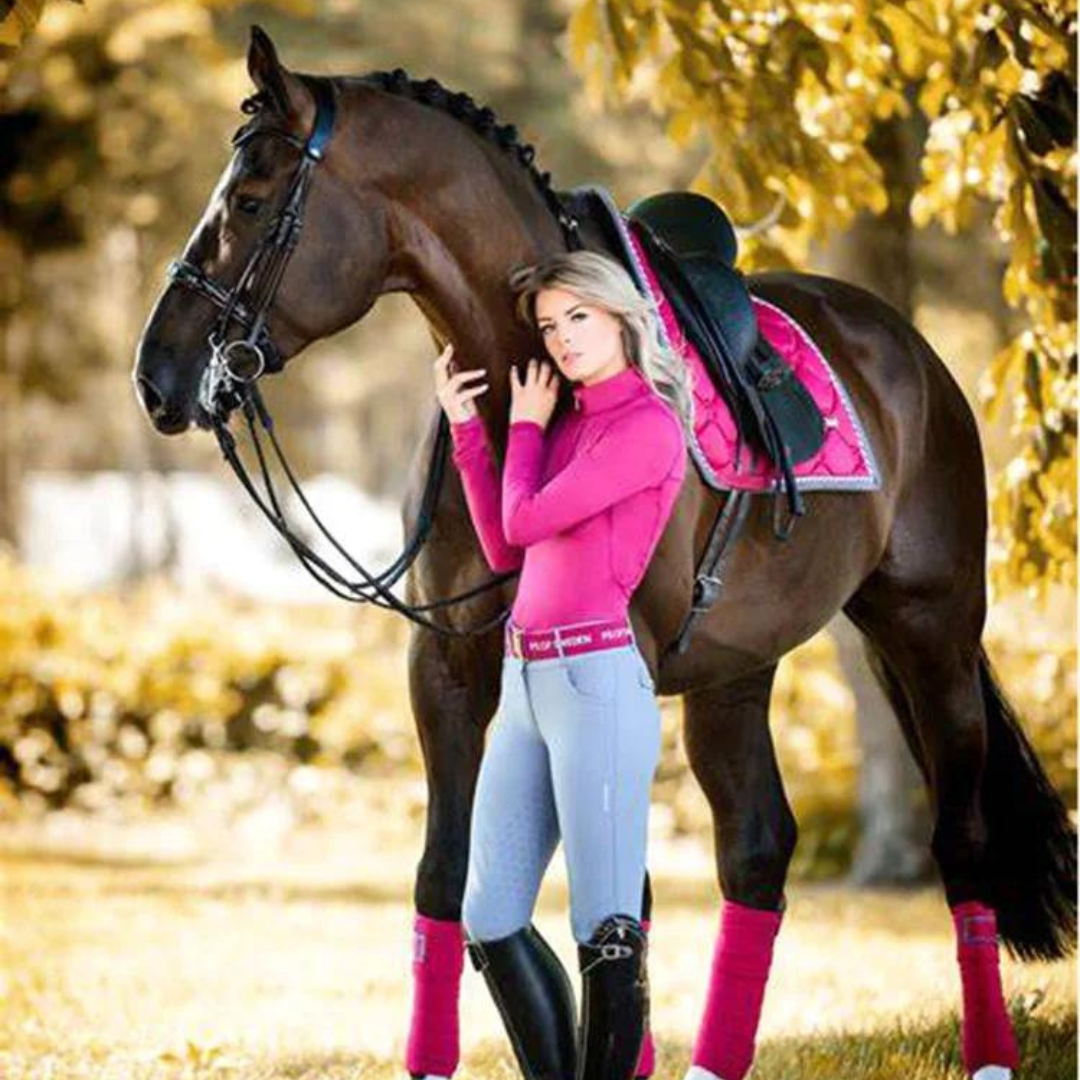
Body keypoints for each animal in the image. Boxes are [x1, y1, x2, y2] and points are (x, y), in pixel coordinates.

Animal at [132, 25, 1071, 1080]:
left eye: (251, 203)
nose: (157, 377)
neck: (525, 385)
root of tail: (908, 351)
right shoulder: (448, 663)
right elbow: (450, 881)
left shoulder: (618, 666)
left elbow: (609, 895)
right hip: (735, 670)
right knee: (758, 849)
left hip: (931, 634)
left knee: (962, 840)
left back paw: (989, 1052)